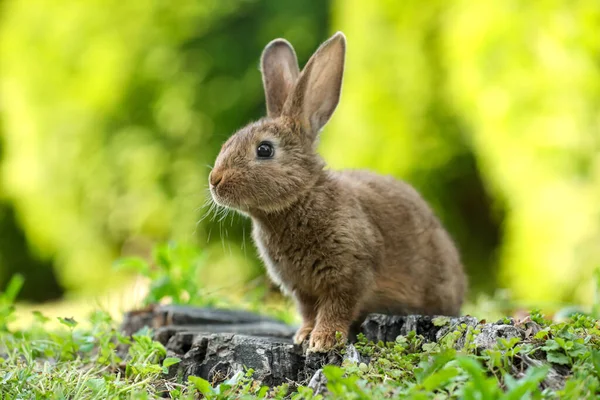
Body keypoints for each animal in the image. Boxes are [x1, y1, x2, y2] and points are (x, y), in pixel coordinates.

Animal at [209, 31, 466, 352]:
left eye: (264, 149)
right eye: (227, 143)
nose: (214, 180)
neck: (300, 199)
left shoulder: (348, 273)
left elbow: (337, 306)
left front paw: (323, 340)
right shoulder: (301, 288)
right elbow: (308, 310)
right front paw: (303, 335)